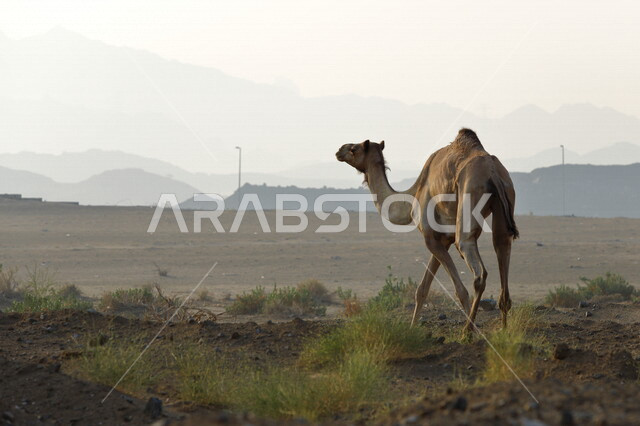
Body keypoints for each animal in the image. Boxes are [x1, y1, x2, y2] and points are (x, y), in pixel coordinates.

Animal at [336, 128, 518, 332]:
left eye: (354, 149)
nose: (339, 150)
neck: (412, 197)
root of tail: (492, 172)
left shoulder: (430, 238)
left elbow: (459, 291)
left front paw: (474, 331)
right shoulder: (443, 240)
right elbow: (422, 289)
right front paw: (411, 328)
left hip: (469, 195)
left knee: (475, 264)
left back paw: (467, 332)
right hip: (506, 195)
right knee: (502, 244)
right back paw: (504, 330)